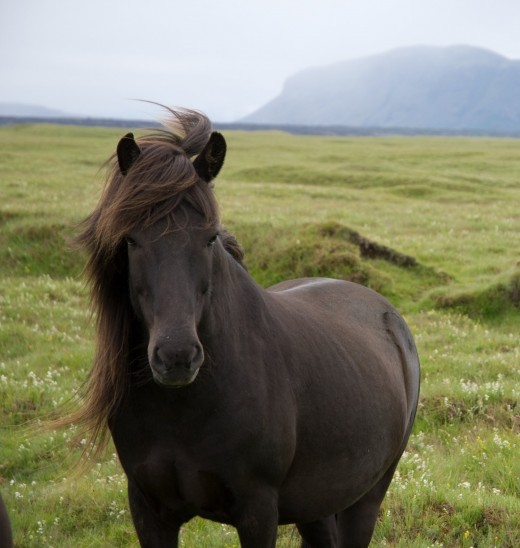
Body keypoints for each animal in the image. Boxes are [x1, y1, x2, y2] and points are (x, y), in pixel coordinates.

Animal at [73, 108, 420, 548]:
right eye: (131, 240)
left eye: (210, 238)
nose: (176, 357)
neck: (183, 409)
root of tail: (388, 315)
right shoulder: (148, 510)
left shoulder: (258, 511)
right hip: (317, 503)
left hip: (367, 496)